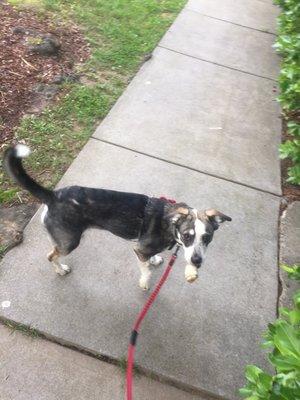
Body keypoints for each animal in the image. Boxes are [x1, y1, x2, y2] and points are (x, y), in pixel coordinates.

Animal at [4, 145, 232, 290]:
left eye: (207, 238)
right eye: (187, 236)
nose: (197, 261)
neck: (170, 223)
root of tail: (52, 195)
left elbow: (152, 258)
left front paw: (156, 259)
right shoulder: (139, 250)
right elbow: (146, 270)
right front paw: (145, 282)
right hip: (69, 242)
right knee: (51, 255)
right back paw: (60, 270)